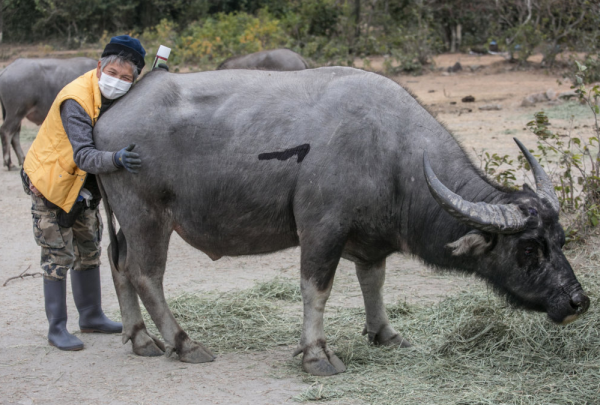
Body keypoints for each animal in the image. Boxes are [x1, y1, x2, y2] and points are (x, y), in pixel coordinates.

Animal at [96, 65, 588, 376]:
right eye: (528, 248)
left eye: (561, 239)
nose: (577, 302)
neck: (392, 153)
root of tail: (108, 119)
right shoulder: (321, 230)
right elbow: (317, 290)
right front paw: (316, 355)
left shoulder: (369, 243)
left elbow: (374, 283)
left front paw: (385, 334)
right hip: (147, 217)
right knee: (146, 274)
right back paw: (184, 344)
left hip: (125, 221)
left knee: (119, 266)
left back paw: (139, 339)